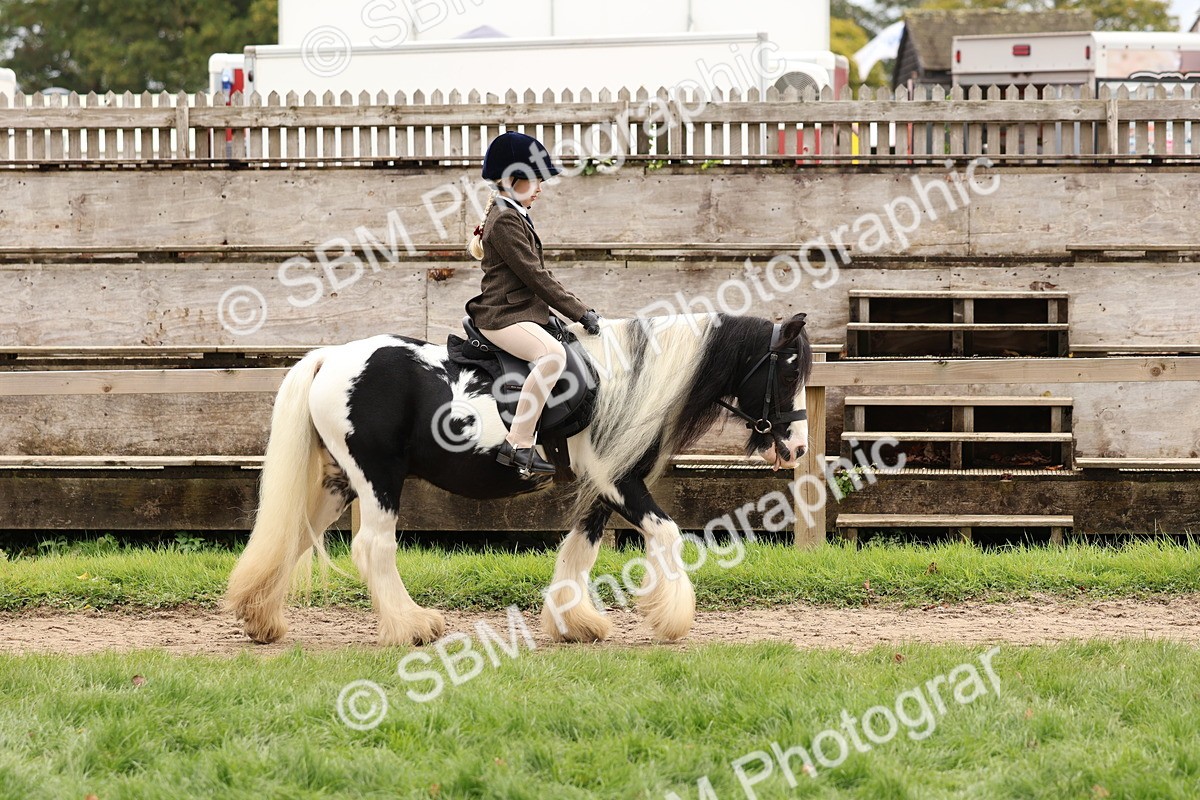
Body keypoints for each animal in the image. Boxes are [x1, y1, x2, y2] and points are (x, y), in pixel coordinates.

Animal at [225, 311, 813, 646]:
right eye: (787, 369)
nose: (799, 448)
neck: (629, 378)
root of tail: (331, 358)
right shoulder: (619, 480)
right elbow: (666, 534)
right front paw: (671, 619)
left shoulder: (603, 486)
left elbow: (579, 550)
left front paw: (576, 624)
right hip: (377, 478)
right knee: (373, 548)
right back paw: (413, 627)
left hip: (338, 482)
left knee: (294, 537)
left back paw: (259, 618)